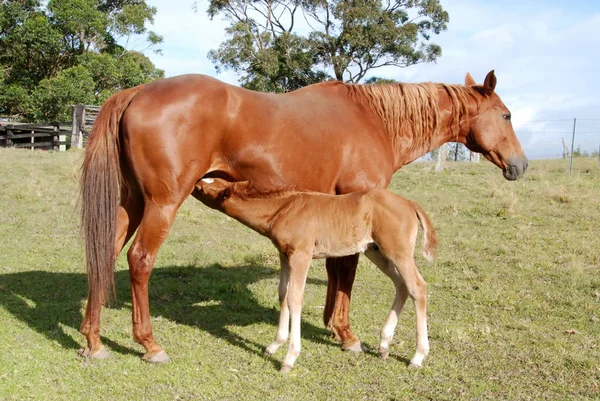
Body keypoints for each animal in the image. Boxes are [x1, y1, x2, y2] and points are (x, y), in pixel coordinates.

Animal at [196, 178, 436, 372]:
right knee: (402, 285)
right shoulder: (285, 256)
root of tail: (410, 204)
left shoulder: (301, 255)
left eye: (203, 187)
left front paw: (289, 358)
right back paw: (384, 345)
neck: (282, 209)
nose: (194, 181)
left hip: (397, 251)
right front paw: (274, 345)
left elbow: (295, 299)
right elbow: (282, 294)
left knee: (418, 287)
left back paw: (417, 357)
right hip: (375, 251)